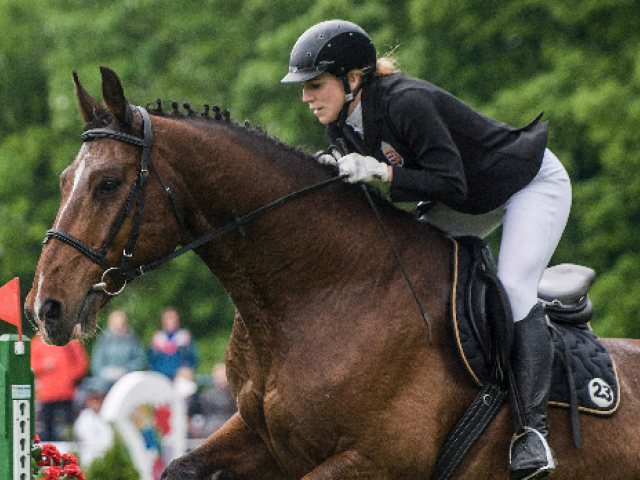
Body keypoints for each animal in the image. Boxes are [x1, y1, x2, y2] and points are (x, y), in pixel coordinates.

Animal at [25, 66, 640, 476]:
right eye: (62, 180)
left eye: (107, 184)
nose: (44, 308)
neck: (316, 296)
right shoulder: (258, 435)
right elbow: (180, 467)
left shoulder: (377, 459)